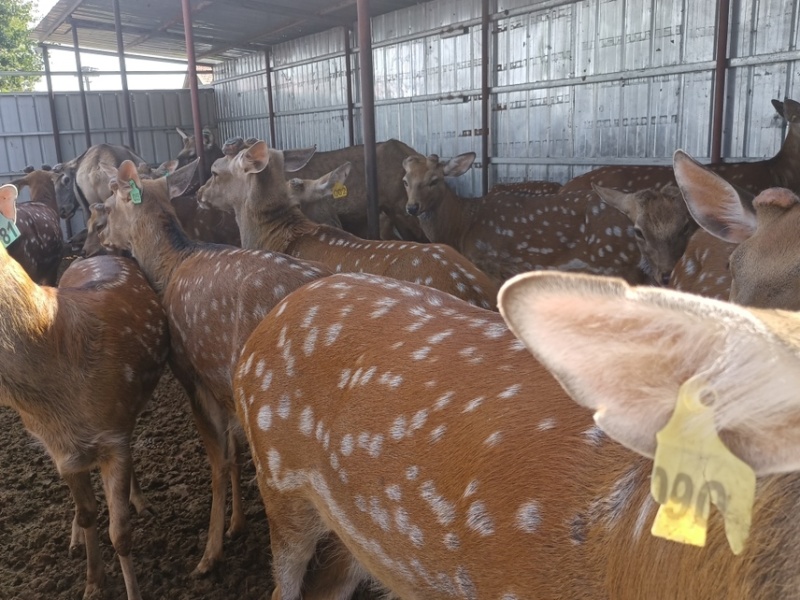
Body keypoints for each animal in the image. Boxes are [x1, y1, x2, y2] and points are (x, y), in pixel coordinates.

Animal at [0, 183, 168, 600]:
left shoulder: (113, 431)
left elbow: (120, 533)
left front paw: (132, 591)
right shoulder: (60, 449)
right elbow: (89, 513)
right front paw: (93, 583)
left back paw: (140, 500)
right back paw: (75, 536)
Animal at [98, 158, 332, 576]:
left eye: (108, 204)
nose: (95, 238)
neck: (170, 267)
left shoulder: (191, 373)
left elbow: (217, 461)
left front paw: (209, 554)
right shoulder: (222, 381)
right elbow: (233, 451)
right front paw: (237, 524)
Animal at [402, 152, 648, 285]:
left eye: (434, 180)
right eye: (405, 180)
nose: (412, 207)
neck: (462, 228)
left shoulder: (491, 264)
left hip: (617, 262)